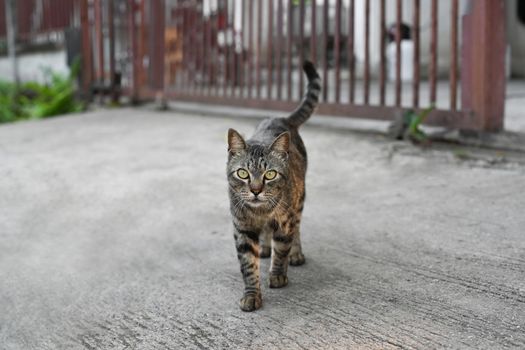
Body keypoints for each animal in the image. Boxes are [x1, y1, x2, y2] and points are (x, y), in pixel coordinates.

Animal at [225, 60, 320, 312]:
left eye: (270, 174)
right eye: (243, 173)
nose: (256, 190)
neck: (261, 212)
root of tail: (280, 118)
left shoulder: (284, 221)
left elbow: (282, 248)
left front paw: (277, 275)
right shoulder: (242, 228)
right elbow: (248, 265)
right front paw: (251, 294)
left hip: (299, 201)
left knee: (297, 229)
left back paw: (295, 254)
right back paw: (265, 247)